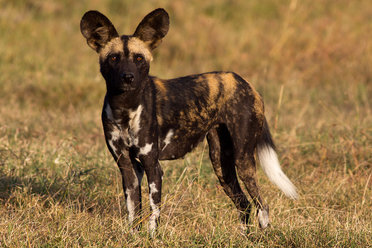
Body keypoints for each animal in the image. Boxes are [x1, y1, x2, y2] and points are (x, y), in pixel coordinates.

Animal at [80, 7, 296, 232]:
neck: (125, 109)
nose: (128, 77)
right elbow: (133, 214)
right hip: (221, 165)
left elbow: (153, 215)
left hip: (243, 160)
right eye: (114, 58)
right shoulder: (127, 167)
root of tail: (246, 84)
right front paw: (133, 236)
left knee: (262, 207)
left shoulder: (153, 166)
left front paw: (152, 236)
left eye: (139, 58)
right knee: (244, 204)